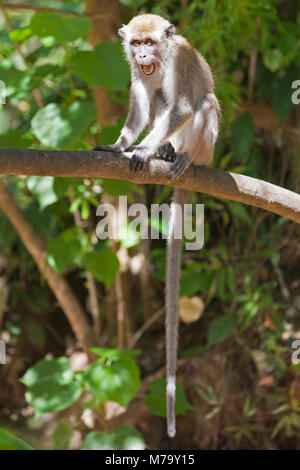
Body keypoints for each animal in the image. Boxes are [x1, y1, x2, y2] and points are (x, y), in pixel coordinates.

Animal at [94, 12, 220, 436]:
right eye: (136, 44)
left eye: (150, 42)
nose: (145, 55)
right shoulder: (137, 72)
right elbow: (143, 103)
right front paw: (120, 145)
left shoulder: (178, 60)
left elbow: (180, 108)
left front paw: (144, 149)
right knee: (159, 100)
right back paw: (164, 151)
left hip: (206, 145)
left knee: (201, 104)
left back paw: (178, 156)